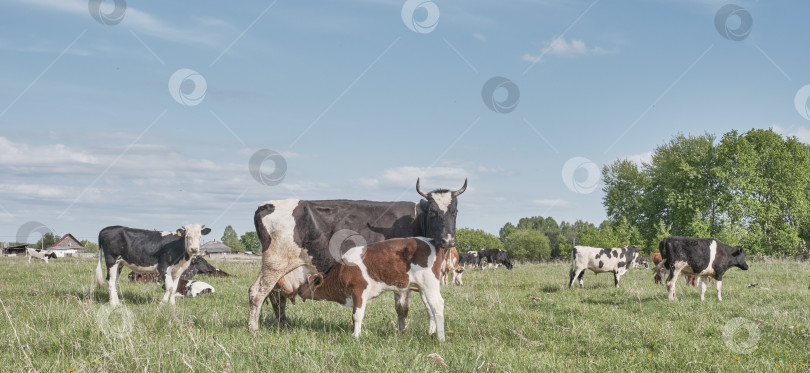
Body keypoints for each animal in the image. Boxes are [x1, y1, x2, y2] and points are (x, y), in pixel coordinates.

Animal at [298, 238, 448, 340]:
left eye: (307, 282)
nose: (298, 290)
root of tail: (430, 240)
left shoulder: (359, 290)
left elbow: (356, 315)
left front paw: (355, 336)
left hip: (429, 283)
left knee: (437, 305)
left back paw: (440, 338)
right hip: (422, 287)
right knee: (430, 309)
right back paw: (430, 332)